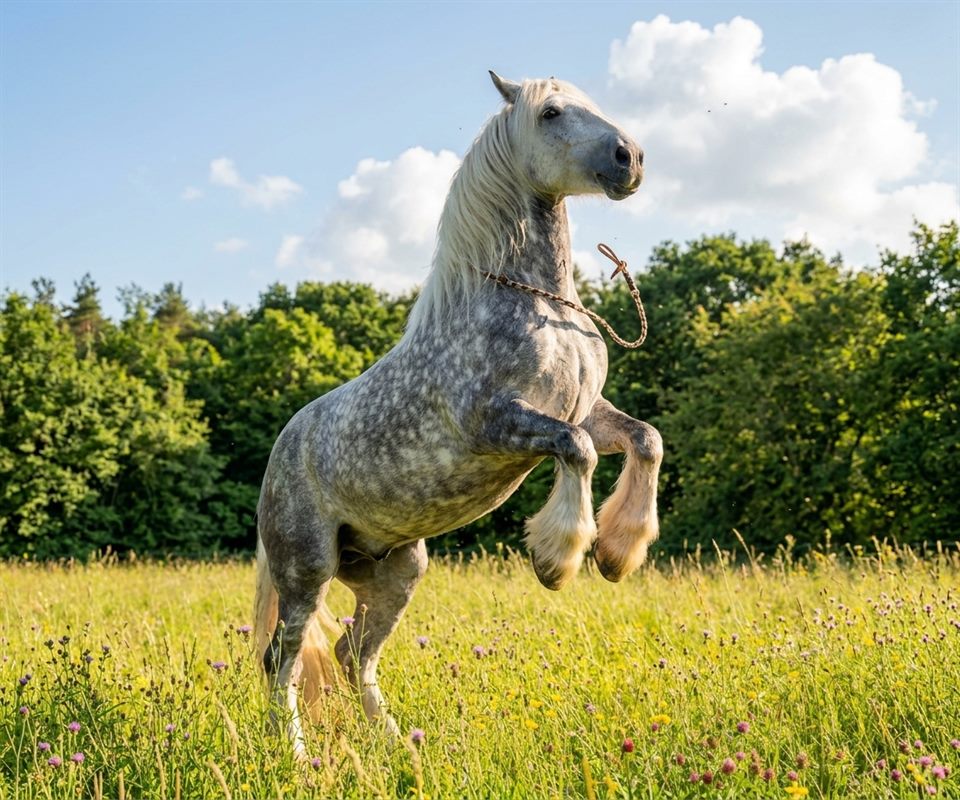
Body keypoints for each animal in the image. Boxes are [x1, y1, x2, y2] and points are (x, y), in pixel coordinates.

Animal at [254, 71, 663, 757]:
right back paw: (296, 755)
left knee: (352, 655)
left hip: (395, 572)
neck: (535, 304)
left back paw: (399, 744)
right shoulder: (497, 424)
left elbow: (644, 438)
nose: (628, 158)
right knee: (281, 659)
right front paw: (557, 561)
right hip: (306, 570)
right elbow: (575, 449)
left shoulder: (587, 409)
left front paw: (616, 553)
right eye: (551, 113)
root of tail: (280, 455)